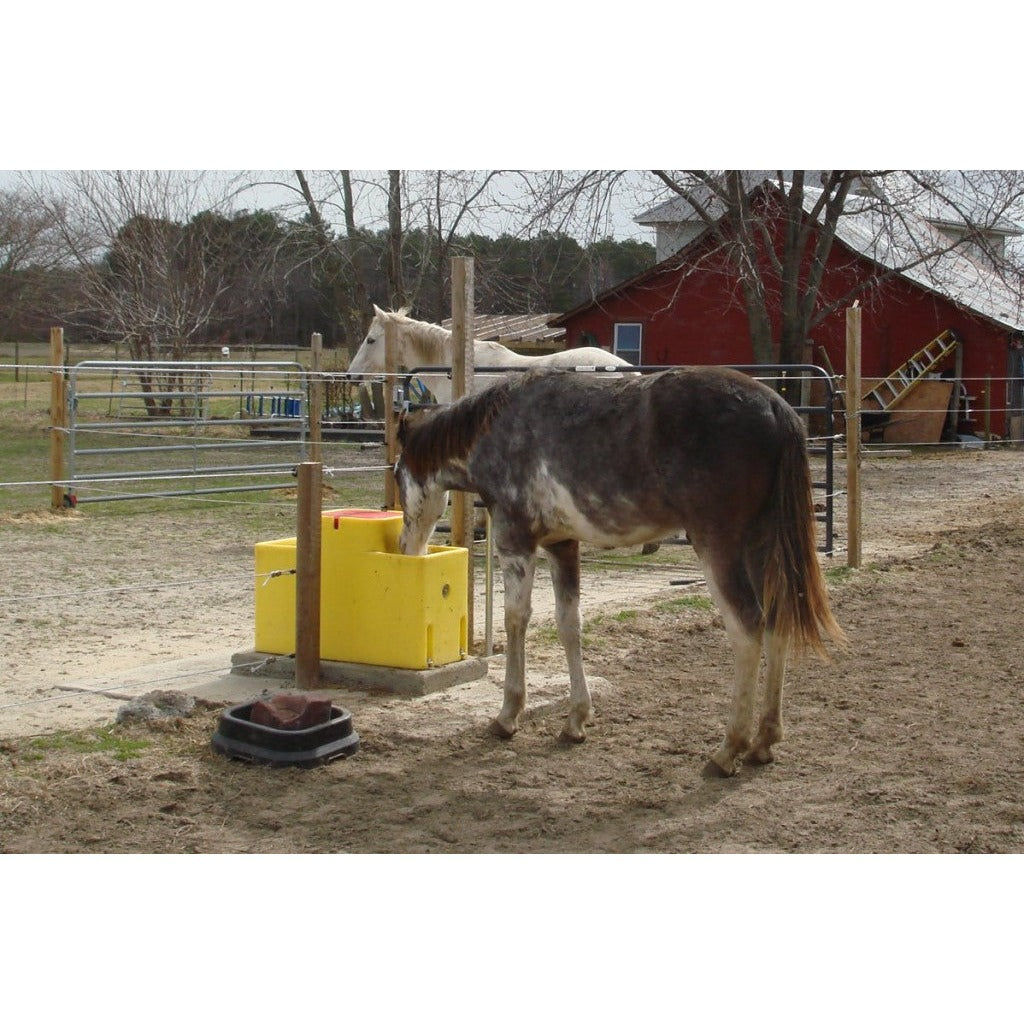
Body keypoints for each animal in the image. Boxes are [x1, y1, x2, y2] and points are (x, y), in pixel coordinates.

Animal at [394, 365, 845, 777]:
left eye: (397, 476)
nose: (405, 547)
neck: (498, 427)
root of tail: (775, 406)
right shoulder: (562, 545)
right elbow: (569, 624)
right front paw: (576, 719)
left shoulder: (516, 541)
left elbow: (516, 621)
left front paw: (508, 714)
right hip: (762, 545)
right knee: (777, 621)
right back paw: (764, 740)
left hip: (719, 547)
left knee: (748, 629)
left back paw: (729, 748)